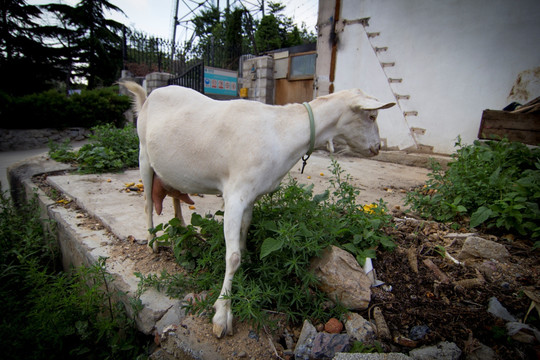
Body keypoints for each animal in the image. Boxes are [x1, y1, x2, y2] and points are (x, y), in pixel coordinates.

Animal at [121, 81, 392, 338]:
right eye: (372, 116)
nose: (377, 148)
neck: (281, 132)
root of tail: (148, 98)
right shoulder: (235, 194)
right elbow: (232, 257)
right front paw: (222, 314)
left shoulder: (251, 197)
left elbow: (243, 236)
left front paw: (243, 275)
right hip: (143, 156)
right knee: (147, 204)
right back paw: (153, 243)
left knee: (175, 197)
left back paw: (182, 229)